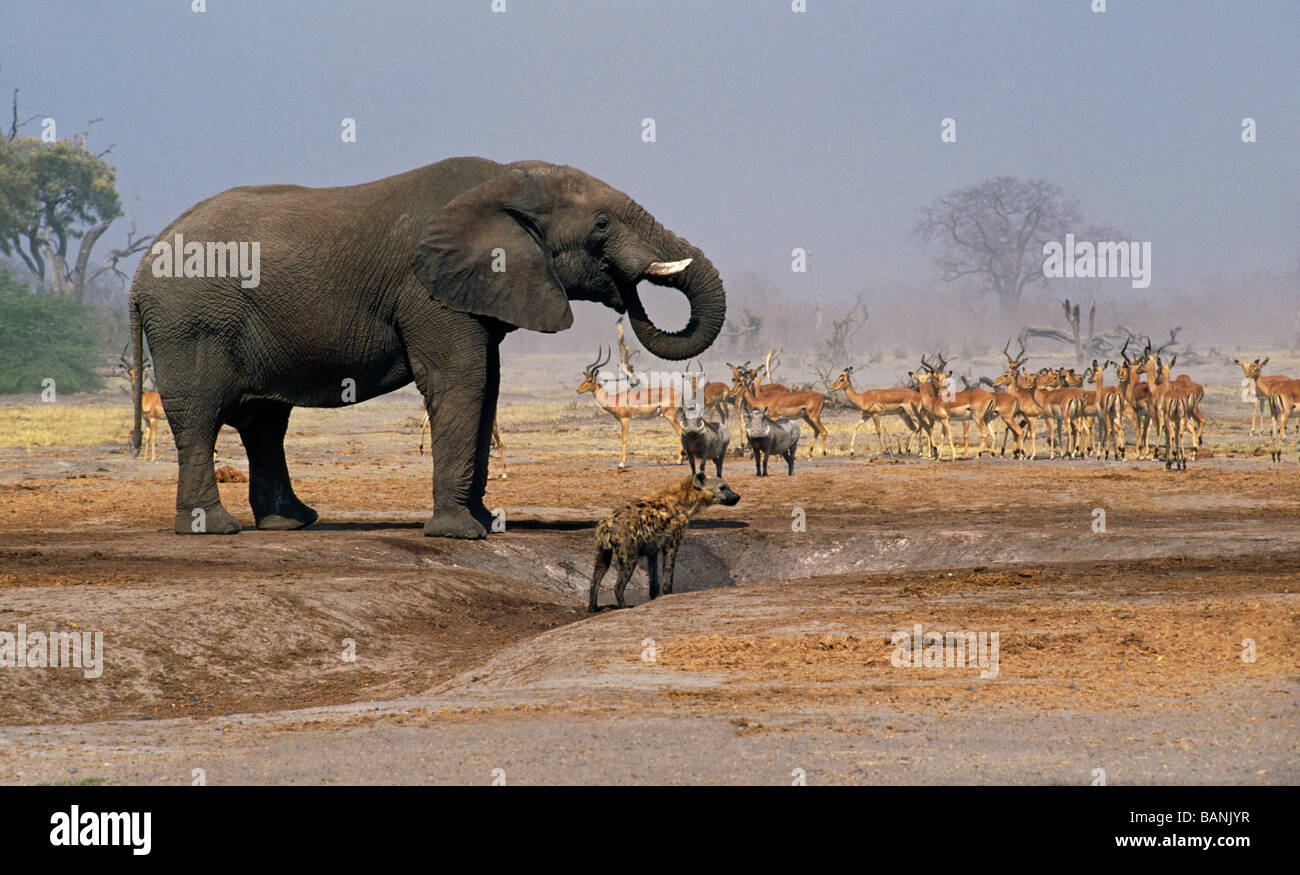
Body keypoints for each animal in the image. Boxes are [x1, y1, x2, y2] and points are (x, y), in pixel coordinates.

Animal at [131, 159, 733, 535]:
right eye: (602, 225)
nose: (626, 292)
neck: (503, 183)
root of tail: (138, 273)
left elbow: (488, 388)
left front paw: (486, 523)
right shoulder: (428, 291)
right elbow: (460, 382)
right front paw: (461, 534)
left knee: (263, 424)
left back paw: (293, 522)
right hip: (192, 325)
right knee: (202, 418)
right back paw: (214, 529)